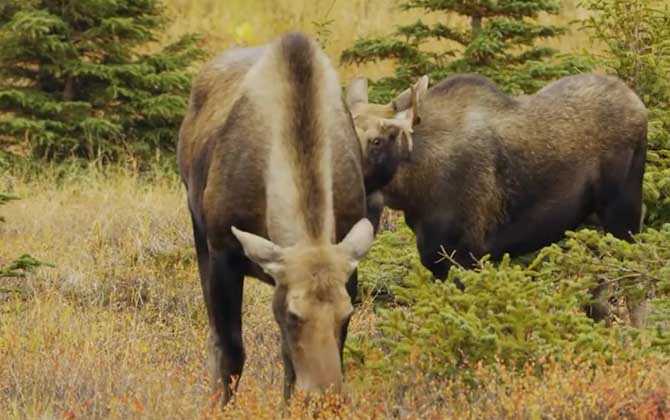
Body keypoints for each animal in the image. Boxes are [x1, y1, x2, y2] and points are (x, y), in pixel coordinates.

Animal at [177, 33, 378, 404]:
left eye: (347, 314)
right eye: (294, 315)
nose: (326, 394)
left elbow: (289, 362)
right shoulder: (224, 251)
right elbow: (230, 350)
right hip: (197, 227)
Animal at [350, 73, 648, 322]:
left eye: (377, 140)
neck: (413, 189)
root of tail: (640, 105)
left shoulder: (467, 256)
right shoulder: (436, 259)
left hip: (624, 213)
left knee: (636, 286)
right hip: (594, 225)